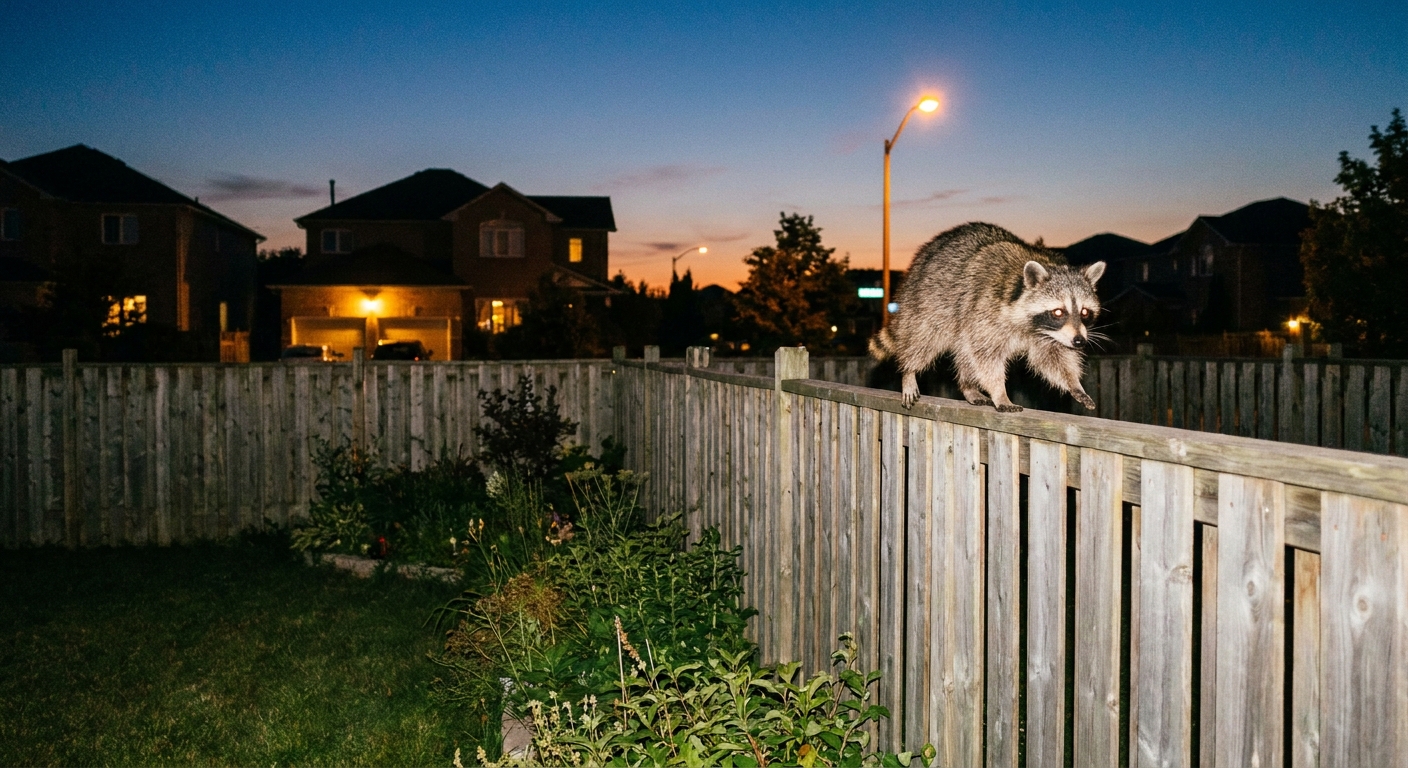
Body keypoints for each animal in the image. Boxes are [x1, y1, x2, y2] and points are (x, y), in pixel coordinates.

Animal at [869, 222, 1105, 412]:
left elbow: (1054, 358)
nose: (1079, 341)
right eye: (1058, 312)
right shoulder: (986, 312)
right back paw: (909, 370)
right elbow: (986, 357)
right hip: (931, 301)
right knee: (925, 337)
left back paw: (968, 386)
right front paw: (1000, 392)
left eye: (1085, 312)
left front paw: (1074, 383)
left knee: (964, 350)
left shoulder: (1049, 336)